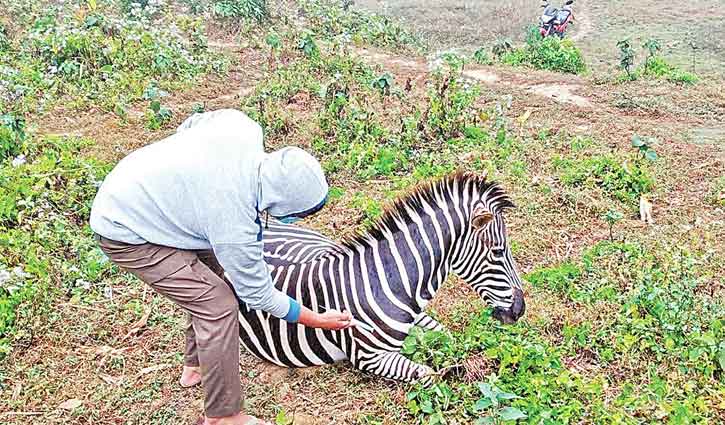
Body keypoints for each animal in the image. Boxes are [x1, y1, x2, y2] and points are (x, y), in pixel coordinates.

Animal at [238, 172, 528, 380]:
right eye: (498, 252)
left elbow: (448, 336)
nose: (520, 310)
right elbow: (429, 374)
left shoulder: (420, 318)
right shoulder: (371, 357)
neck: (388, 283)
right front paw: (459, 370)